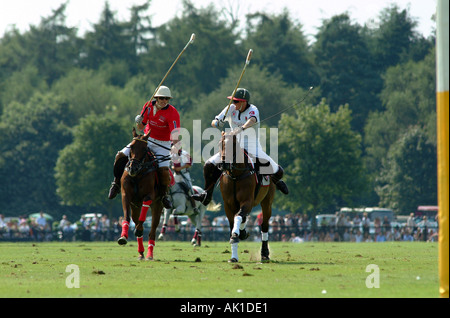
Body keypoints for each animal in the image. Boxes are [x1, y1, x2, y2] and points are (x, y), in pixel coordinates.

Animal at [117, 127, 164, 260]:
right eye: (132, 146)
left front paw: (138, 230)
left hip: (157, 206)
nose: (132, 168)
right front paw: (123, 236)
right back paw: (141, 252)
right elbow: (126, 216)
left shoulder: (149, 196)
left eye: (144, 149)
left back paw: (149, 254)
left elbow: (142, 220)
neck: (138, 174)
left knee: (152, 231)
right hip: (135, 206)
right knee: (136, 220)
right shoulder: (126, 195)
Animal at [218, 130, 274, 262]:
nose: (224, 164)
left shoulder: (247, 201)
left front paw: (235, 236)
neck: (235, 175)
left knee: (264, 225)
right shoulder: (228, 205)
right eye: (220, 144)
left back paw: (265, 254)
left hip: (267, 202)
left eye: (233, 144)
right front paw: (233, 256)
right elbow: (233, 222)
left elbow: (238, 218)